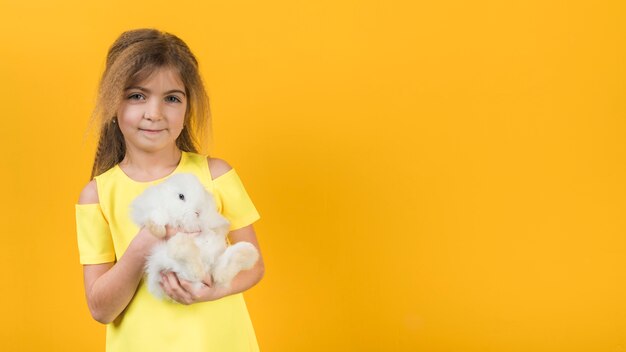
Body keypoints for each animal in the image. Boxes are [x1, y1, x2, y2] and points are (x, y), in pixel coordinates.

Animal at [130, 173, 260, 300]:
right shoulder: (149, 207)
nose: (198, 212)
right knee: (194, 274)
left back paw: (246, 252)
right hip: (165, 260)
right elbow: (158, 215)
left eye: (202, 196)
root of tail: (207, 265)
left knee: (218, 274)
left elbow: (215, 226)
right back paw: (183, 246)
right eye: (181, 196)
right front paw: (158, 231)